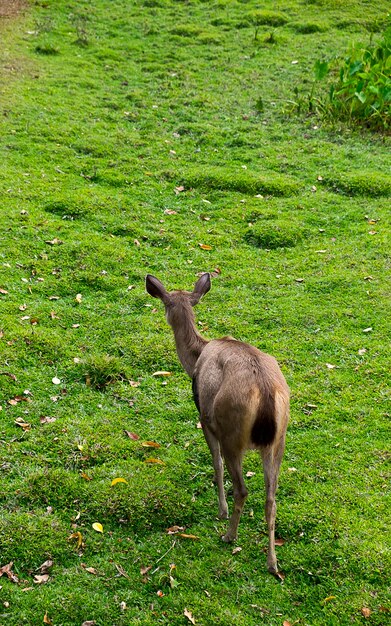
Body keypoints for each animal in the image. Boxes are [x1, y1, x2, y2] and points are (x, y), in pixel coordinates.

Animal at [145, 270, 290, 572]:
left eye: (165, 304)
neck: (196, 357)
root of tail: (266, 393)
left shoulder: (205, 417)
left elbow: (216, 462)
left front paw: (220, 509)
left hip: (231, 431)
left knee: (242, 488)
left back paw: (229, 535)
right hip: (278, 439)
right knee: (271, 498)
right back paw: (272, 563)